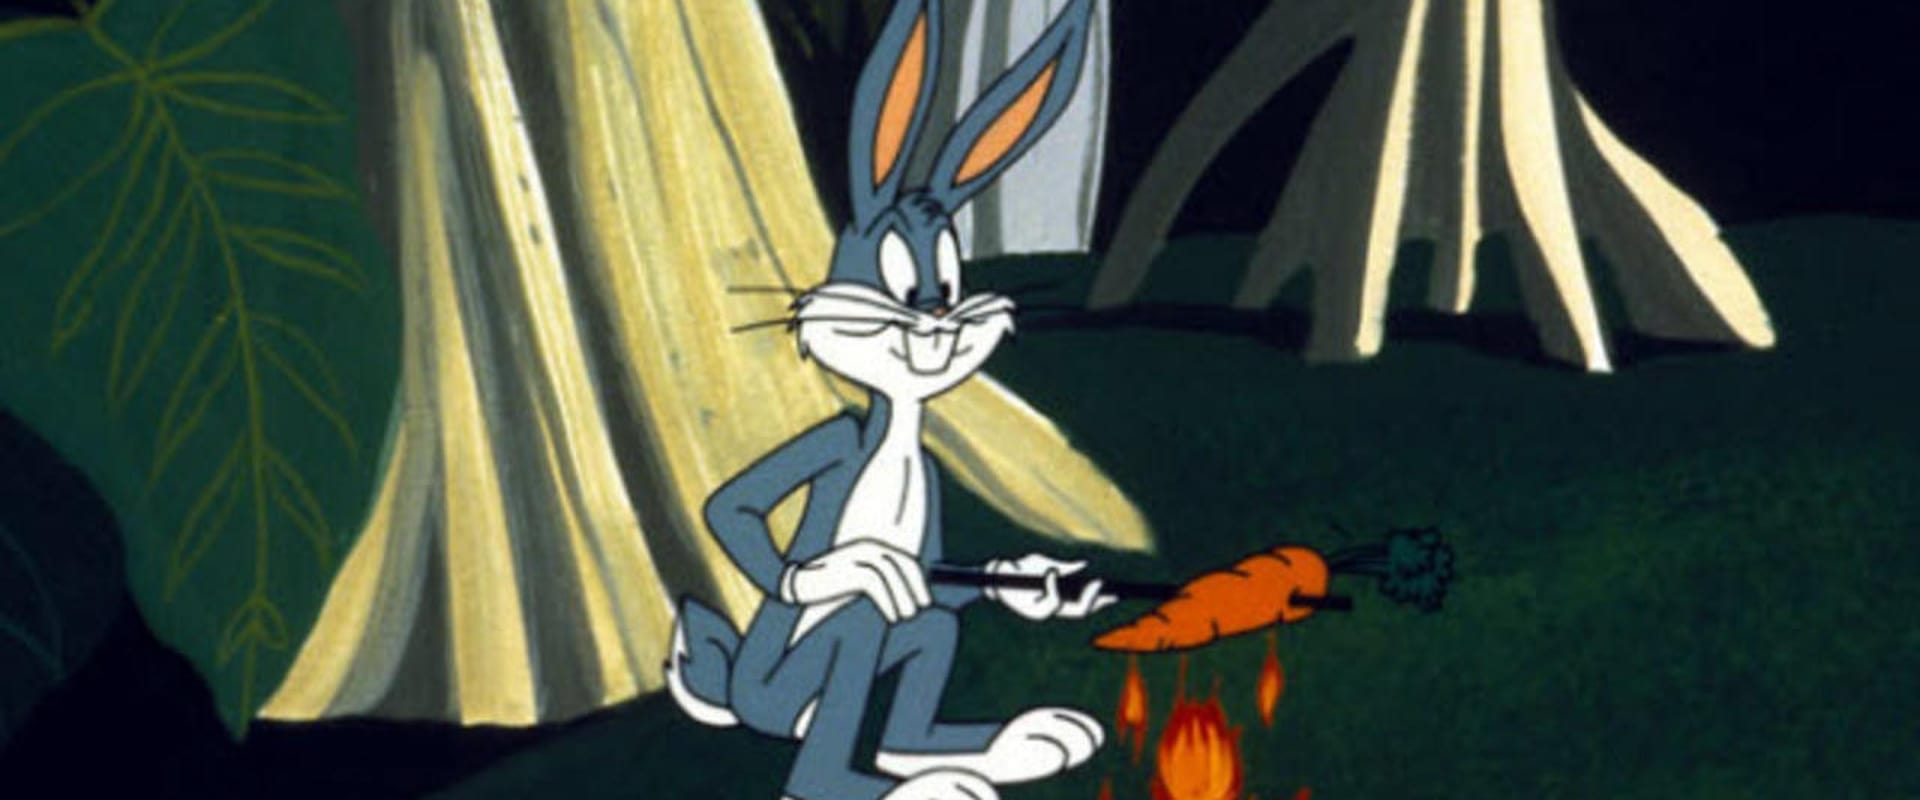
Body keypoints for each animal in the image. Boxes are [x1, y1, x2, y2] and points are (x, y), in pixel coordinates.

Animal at [664, 1, 1110, 799]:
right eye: (899, 282)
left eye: (951, 282)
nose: (934, 316)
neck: (900, 430)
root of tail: (751, 703)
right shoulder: (839, 438)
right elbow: (732, 509)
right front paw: (853, 568)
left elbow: (942, 589)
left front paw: (1037, 586)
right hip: (790, 684)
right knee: (857, 640)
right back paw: (908, 781)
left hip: (882, 661)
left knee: (929, 632)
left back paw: (984, 750)